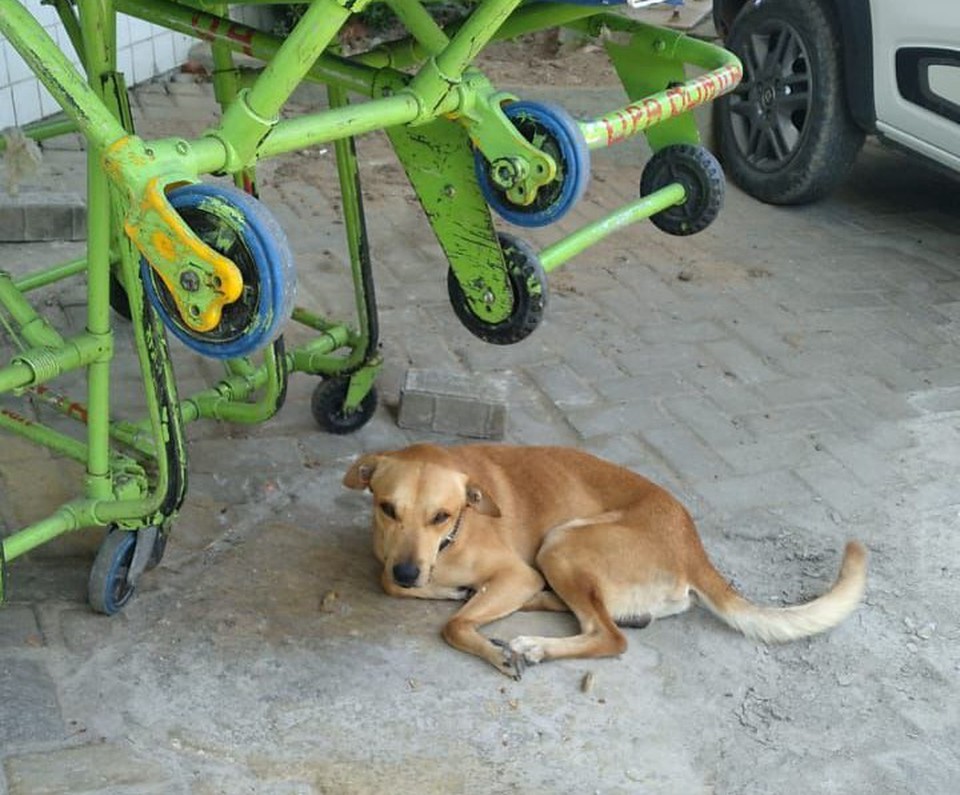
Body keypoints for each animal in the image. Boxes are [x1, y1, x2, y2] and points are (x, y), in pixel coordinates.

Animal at [342, 442, 868, 676]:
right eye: (387, 508)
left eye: (442, 516)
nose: (409, 573)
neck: (455, 536)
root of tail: (692, 544)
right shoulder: (394, 562)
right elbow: (387, 580)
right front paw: (449, 590)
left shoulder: (516, 571)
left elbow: (453, 625)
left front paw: (492, 648)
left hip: (560, 544)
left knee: (609, 636)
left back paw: (534, 644)